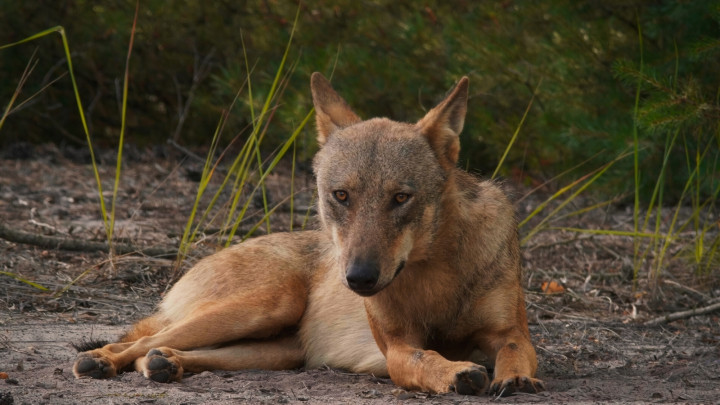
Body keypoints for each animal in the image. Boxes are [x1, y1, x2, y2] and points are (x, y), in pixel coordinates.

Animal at [74, 72, 544, 394]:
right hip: (266, 306)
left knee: (160, 350)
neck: (435, 274)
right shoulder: (396, 347)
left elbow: (518, 351)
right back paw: (99, 361)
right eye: (341, 195)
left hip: (279, 349)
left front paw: (515, 379)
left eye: (400, 198)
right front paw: (456, 372)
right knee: (140, 341)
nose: (358, 278)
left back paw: (165, 364)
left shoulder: (510, 333)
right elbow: (423, 357)